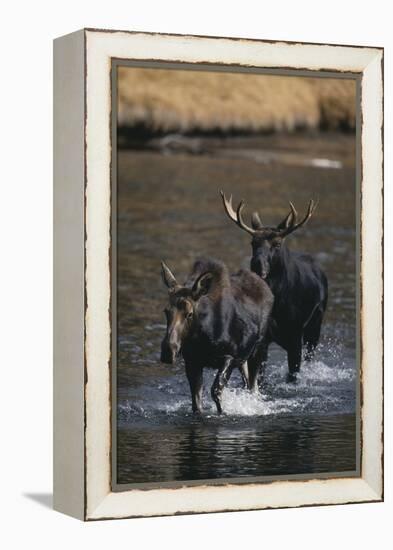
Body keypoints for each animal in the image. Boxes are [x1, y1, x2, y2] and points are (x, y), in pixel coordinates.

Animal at [159, 258, 272, 414]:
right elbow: (196, 403)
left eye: (189, 314)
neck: (201, 338)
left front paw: (223, 412)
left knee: (253, 388)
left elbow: (216, 391)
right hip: (244, 359)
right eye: (166, 311)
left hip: (259, 350)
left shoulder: (229, 357)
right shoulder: (192, 362)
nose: (168, 351)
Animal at [220, 192, 328, 382]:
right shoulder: (262, 339)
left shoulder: (295, 335)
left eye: (277, 244)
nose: (257, 264)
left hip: (315, 324)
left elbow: (293, 374)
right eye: (253, 243)